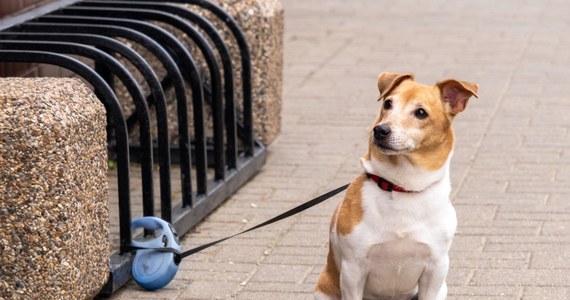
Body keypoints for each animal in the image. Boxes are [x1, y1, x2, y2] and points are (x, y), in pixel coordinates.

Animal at [312, 71, 478, 298]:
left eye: (421, 113)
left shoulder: (436, 269)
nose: (380, 130)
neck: (402, 187)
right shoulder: (352, 270)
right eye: (388, 104)